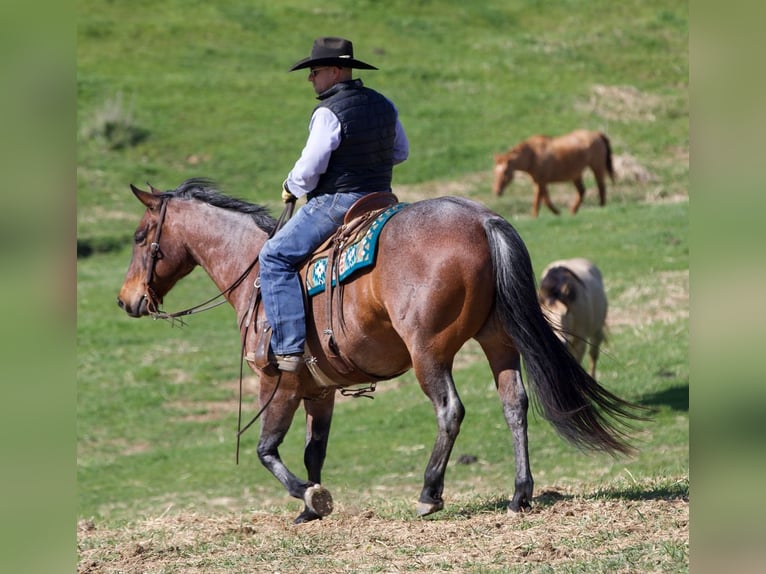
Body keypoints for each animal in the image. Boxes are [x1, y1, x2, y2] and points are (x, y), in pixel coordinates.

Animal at [117, 178, 644, 524]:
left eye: (141, 237)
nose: (127, 300)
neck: (256, 277)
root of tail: (482, 219)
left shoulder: (278, 382)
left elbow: (267, 451)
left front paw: (309, 498)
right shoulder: (318, 391)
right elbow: (313, 451)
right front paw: (311, 507)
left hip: (429, 353)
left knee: (450, 411)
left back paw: (429, 493)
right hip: (499, 343)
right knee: (514, 404)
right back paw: (520, 494)